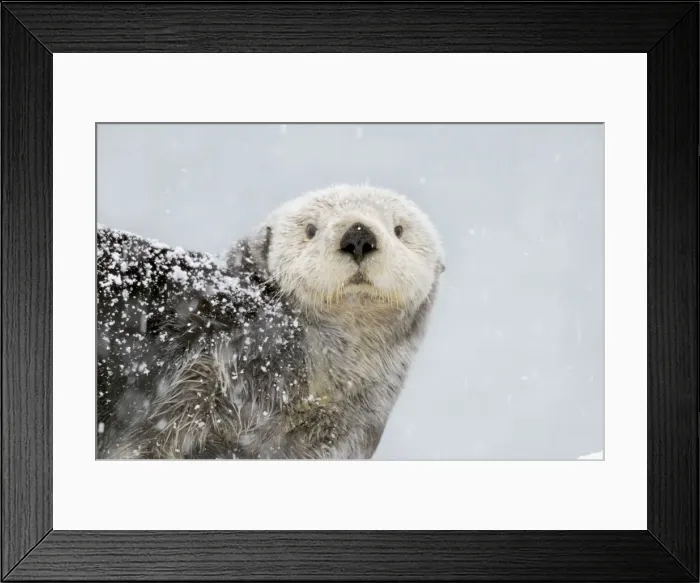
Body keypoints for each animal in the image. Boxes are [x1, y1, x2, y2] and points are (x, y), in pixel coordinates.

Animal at [97, 185, 445, 459]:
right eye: (310, 230)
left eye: (399, 230)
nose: (358, 236)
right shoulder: (193, 375)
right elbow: (145, 443)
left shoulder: (346, 432)